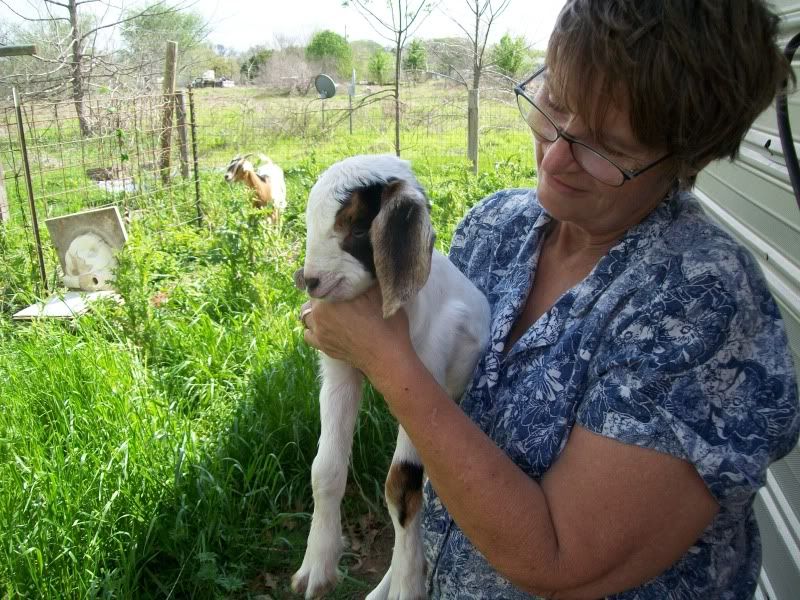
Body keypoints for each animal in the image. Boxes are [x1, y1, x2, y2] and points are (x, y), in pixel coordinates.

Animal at [292, 154, 491, 600]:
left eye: (357, 226)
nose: (309, 281)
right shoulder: (340, 369)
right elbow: (324, 468)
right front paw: (317, 565)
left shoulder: (425, 385)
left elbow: (401, 486)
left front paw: (405, 587)